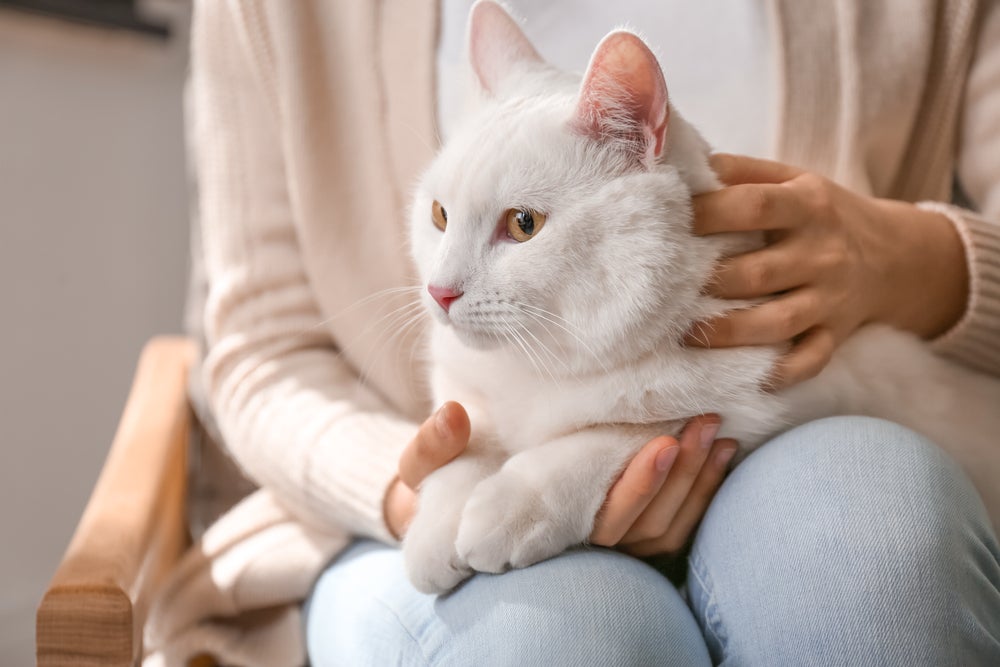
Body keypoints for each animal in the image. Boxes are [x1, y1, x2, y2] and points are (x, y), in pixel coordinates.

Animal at [404, 0, 1000, 596]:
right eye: (439, 215)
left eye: (523, 225)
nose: (441, 291)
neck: (540, 364)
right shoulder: (465, 390)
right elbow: (463, 439)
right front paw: (435, 525)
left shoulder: (784, 396)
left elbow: (624, 431)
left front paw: (516, 503)